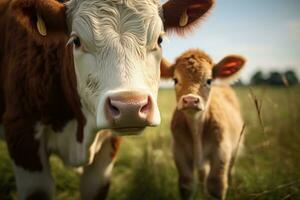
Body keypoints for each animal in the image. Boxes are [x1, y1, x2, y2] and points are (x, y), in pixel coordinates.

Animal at [161, 48, 245, 200]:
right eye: (175, 80)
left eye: (209, 80)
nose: (190, 100)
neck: (196, 130)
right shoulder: (179, 152)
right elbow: (186, 185)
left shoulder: (221, 151)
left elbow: (216, 184)